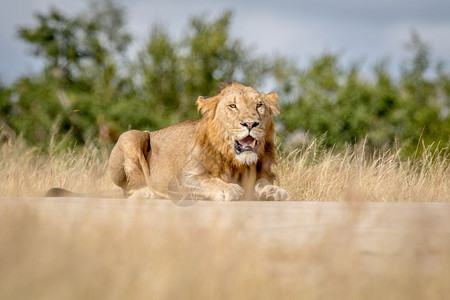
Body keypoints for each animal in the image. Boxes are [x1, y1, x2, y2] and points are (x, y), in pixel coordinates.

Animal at [47, 82, 288, 202]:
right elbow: (209, 181)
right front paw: (228, 189)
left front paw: (273, 191)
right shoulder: (181, 180)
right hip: (132, 136)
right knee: (129, 191)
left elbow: (262, 182)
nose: (251, 123)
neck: (236, 162)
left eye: (259, 106)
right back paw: (147, 193)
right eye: (232, 106)